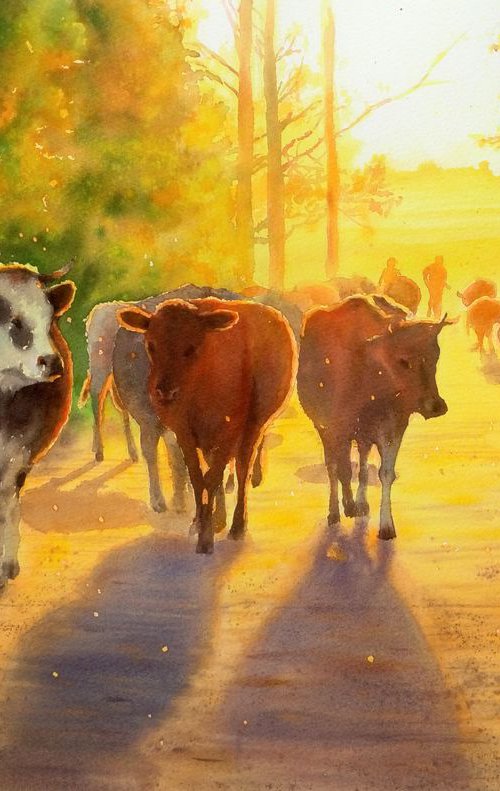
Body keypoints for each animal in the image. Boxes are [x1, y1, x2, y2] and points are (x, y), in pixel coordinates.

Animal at [118, 298, 297, 554]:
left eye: (191, 348)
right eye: (151, 346)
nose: (164, 391)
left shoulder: (229, 432)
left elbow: (213, 478)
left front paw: (206, 538)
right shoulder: (184, 434)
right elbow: (198, 478)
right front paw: (202, 524)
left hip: (254, 425)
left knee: (242, 468)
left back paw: (237, 526)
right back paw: (218, 519)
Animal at [297, 296, 451, 540]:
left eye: (436, 356)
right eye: (403, 361)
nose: (436, 406)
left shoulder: (393, 427)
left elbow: (384, 473)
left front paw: (386, 526)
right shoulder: (335, 427)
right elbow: (339, 469)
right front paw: (340, 510)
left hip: (363, 434)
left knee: (361, 462)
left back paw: (360, 503)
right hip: (325, 427)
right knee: (335, 467)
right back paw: (340, 509)